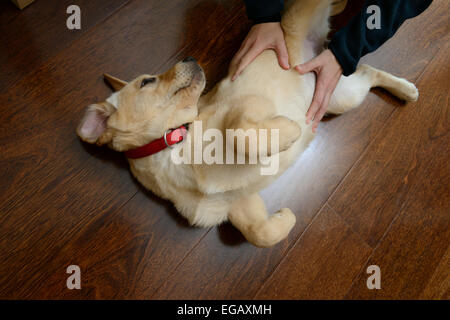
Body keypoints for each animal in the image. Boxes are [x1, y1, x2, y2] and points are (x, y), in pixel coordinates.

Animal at [76, 0, 418, 248]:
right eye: (148, 81)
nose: (189, 58)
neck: (175, 148)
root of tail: (319, 45)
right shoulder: (240, 204)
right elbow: (259, 233)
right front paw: (285, 218)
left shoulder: (245, 104)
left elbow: (242, 134)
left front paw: (291, 130)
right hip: (339, 96)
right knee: (368, 71)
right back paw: (406, 90)